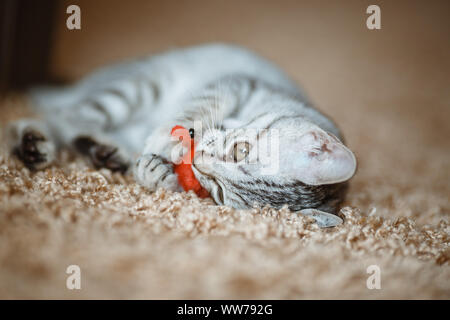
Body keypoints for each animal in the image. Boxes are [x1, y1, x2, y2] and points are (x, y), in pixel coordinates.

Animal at [6, 43, 356, 228]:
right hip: (138, 86)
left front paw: (158, 174)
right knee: (63, 117)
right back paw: (36, 140)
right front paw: (168, 138)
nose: (199, 160)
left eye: (220, 195)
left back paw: (99, 150)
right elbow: (197, 108)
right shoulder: (237, 83)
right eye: (241, 150)